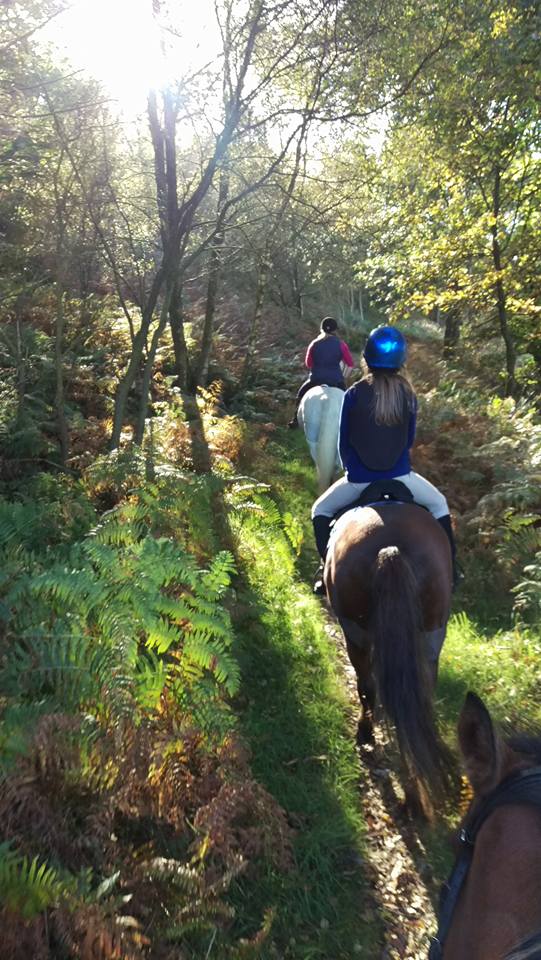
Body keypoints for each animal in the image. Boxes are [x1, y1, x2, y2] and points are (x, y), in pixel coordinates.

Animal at [324, 495, 454, 813]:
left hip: (355, 630)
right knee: (416, 696)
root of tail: (391, 548)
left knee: (367, 686)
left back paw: (365, 734)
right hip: (431, 633)